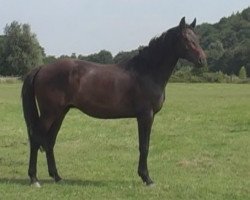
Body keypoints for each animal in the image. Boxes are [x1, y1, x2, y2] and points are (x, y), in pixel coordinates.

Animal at [21, 17, 205, 188]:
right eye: (186, 39)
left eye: (196, 37)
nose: (202, 60)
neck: (146, 71)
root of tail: (42, 68)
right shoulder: (146, 116)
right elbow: (144, 146)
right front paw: (147, 178)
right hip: (49, 113)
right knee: (36, 138)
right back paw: (34, 179)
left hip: (60, 113)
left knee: (50, 141)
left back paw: (57, 176)